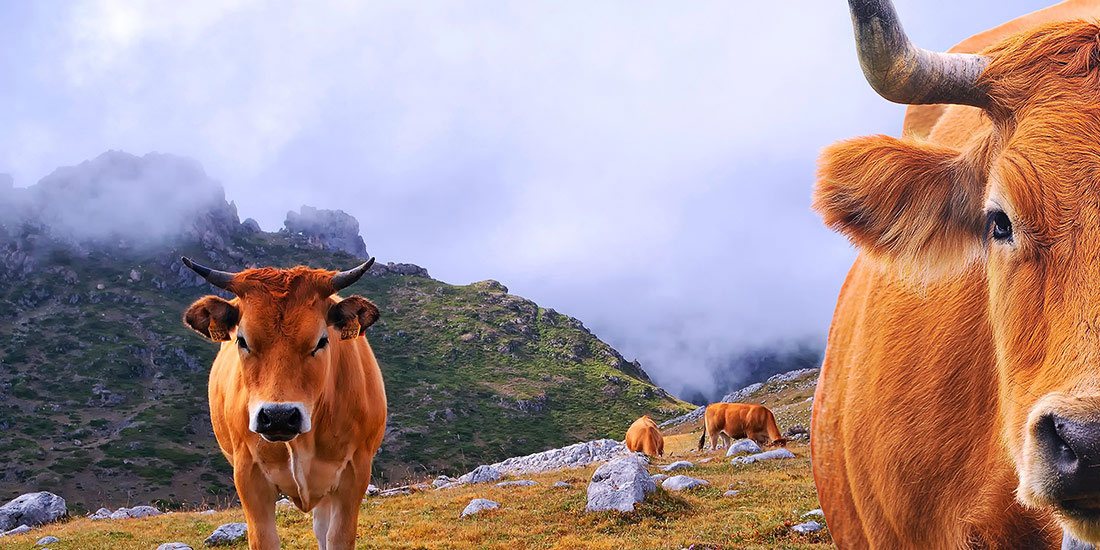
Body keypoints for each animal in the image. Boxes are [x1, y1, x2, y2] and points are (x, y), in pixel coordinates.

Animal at [181, 257, 387, 550]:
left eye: (321, 340)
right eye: (242, 340)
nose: (278, 416)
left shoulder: (355, 471)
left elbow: (338, 537)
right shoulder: (248, 474)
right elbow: (264, 539)